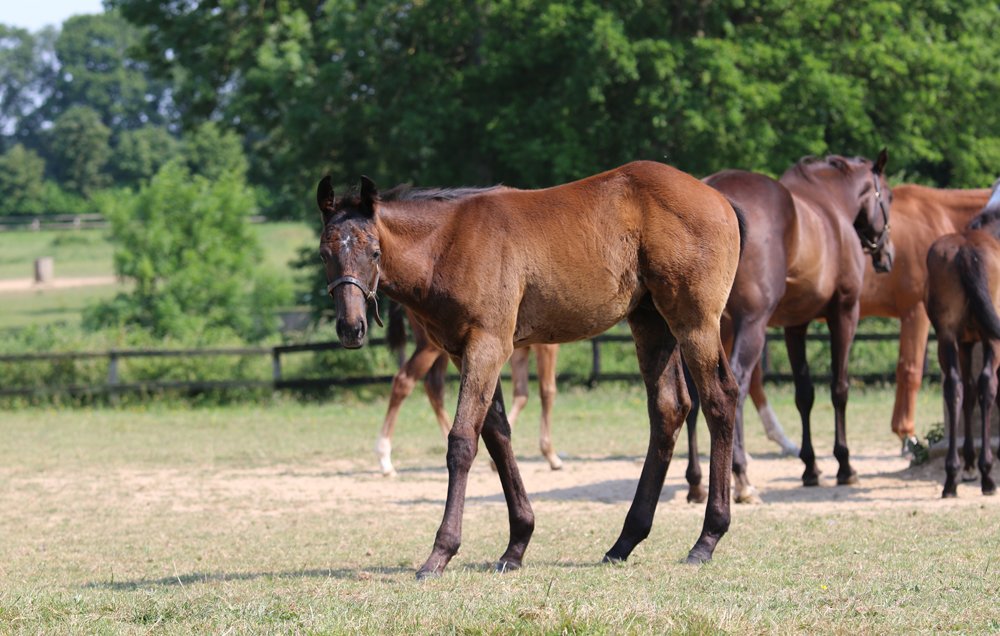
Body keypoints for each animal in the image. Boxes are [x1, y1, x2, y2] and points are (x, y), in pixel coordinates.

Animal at [376, 304, 564, 476]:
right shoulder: (545, 346)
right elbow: (547, 391)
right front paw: (551, 455)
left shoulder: (519, 349)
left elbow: (521, 395)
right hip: (430, 347)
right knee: (403, 382)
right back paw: (385, 459)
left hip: (443, 348)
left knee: (434, 386)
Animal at [680, 152, 892, 504]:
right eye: (888, 196)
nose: (887, 255)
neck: (831, 204)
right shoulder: (844, 313)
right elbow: (839, 388)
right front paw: (844, 465)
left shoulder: (796, 324)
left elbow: (804, 394)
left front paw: (810, 467)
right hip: (750, 326)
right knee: (736, 385)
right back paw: (741, 477)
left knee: (697, 395)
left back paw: (696, 482)